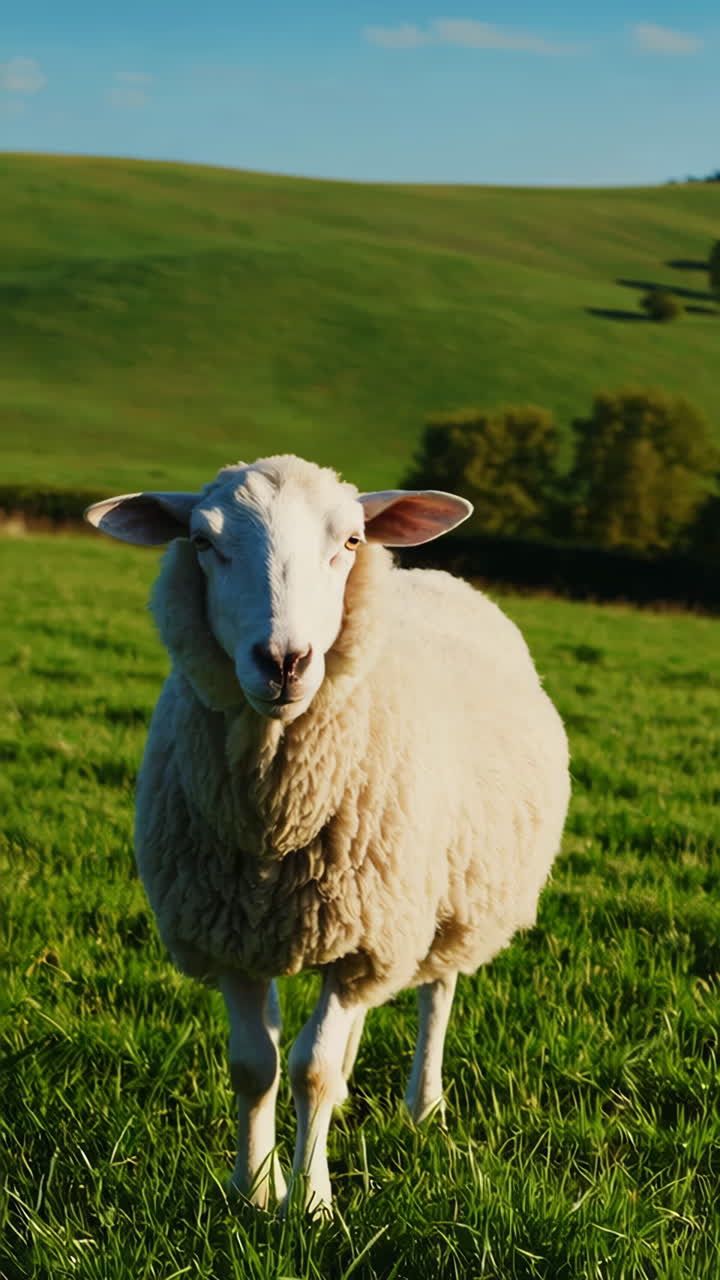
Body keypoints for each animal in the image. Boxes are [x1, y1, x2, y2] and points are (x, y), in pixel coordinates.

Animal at [85, 454, 570, 1214]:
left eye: (348, 542)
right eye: (203, 542)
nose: (284, 660)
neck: (276, 818)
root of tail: (434, 572)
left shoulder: (363, 937)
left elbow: (308, 1067)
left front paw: (310, 1202)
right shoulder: (233, 933)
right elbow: (255, 1065)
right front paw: (254, 1189)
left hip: (451, 896)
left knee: (436, 993)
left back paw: (423, 1105)